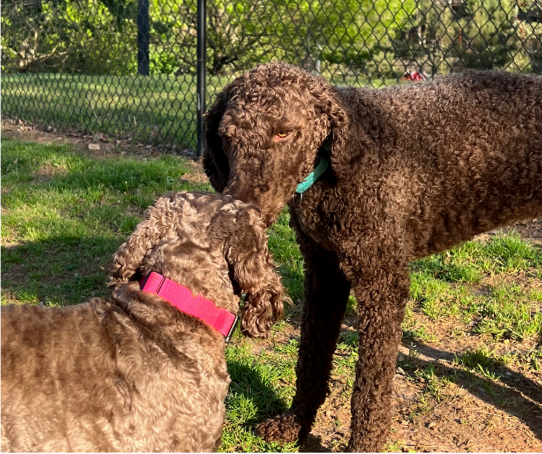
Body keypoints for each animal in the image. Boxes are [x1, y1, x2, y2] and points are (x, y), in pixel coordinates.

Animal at [204, 63, 542, 450]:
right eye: (226, 136)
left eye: (283, 132)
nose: (239, 216)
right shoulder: (323, 273)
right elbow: (310, 359)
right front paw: (294, 424)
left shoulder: (382, 283)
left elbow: (370, 389)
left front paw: (362, 444)